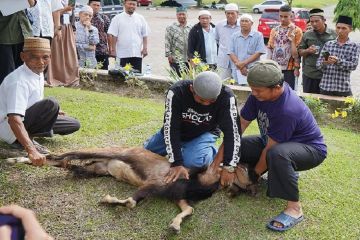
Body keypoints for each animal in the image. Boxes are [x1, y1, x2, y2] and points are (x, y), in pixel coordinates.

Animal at [4, 147, 253, 233]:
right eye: (239, 166)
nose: (251, 187)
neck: (197, 182)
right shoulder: (153, 184)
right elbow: (132, 202)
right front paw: (107, 200)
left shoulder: (177, 197)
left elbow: (189, 210)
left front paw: (174, 226)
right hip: (105, 152)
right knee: (62, 155)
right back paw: (16, 158)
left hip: (95, 169)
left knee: (66, 164)